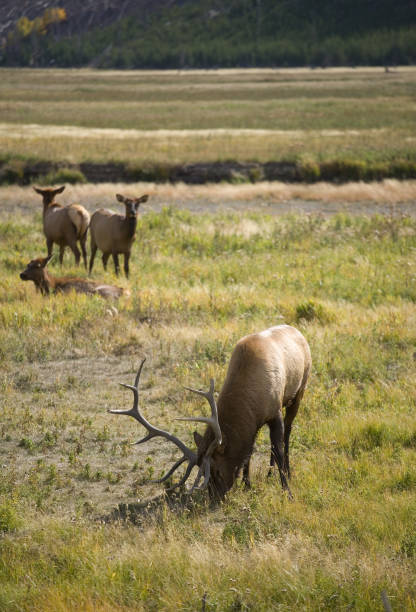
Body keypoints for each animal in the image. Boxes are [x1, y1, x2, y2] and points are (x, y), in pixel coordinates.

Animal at [110, 322, 312, 500]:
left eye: (217, 471)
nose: (215, 498)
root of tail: (298, 332)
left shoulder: (274, 411)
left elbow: (278, 449)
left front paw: (287, 491)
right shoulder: (253, 423)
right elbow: (249, 452)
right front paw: (247, 484)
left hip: (299, 392)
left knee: (287, 432)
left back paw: (287, 471)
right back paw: (269, 474)